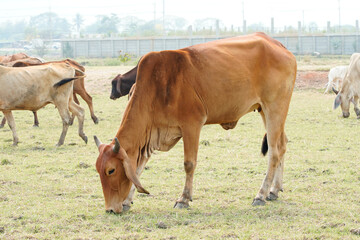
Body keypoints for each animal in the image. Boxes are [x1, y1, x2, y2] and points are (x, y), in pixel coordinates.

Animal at [94, 32, 296, 214]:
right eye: (98, 170)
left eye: (111, 170)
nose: (110, 209)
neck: (158, 87)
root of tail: (278, 45)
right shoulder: (151, 135)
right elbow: (138, 167)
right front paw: (127, 201)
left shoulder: (191, 125)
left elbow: (189, 163)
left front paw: (183, 199)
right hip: (265, 111)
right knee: (282, 145)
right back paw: (274, 190)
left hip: (275, 108)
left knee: (274, 152)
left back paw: (261, 194)